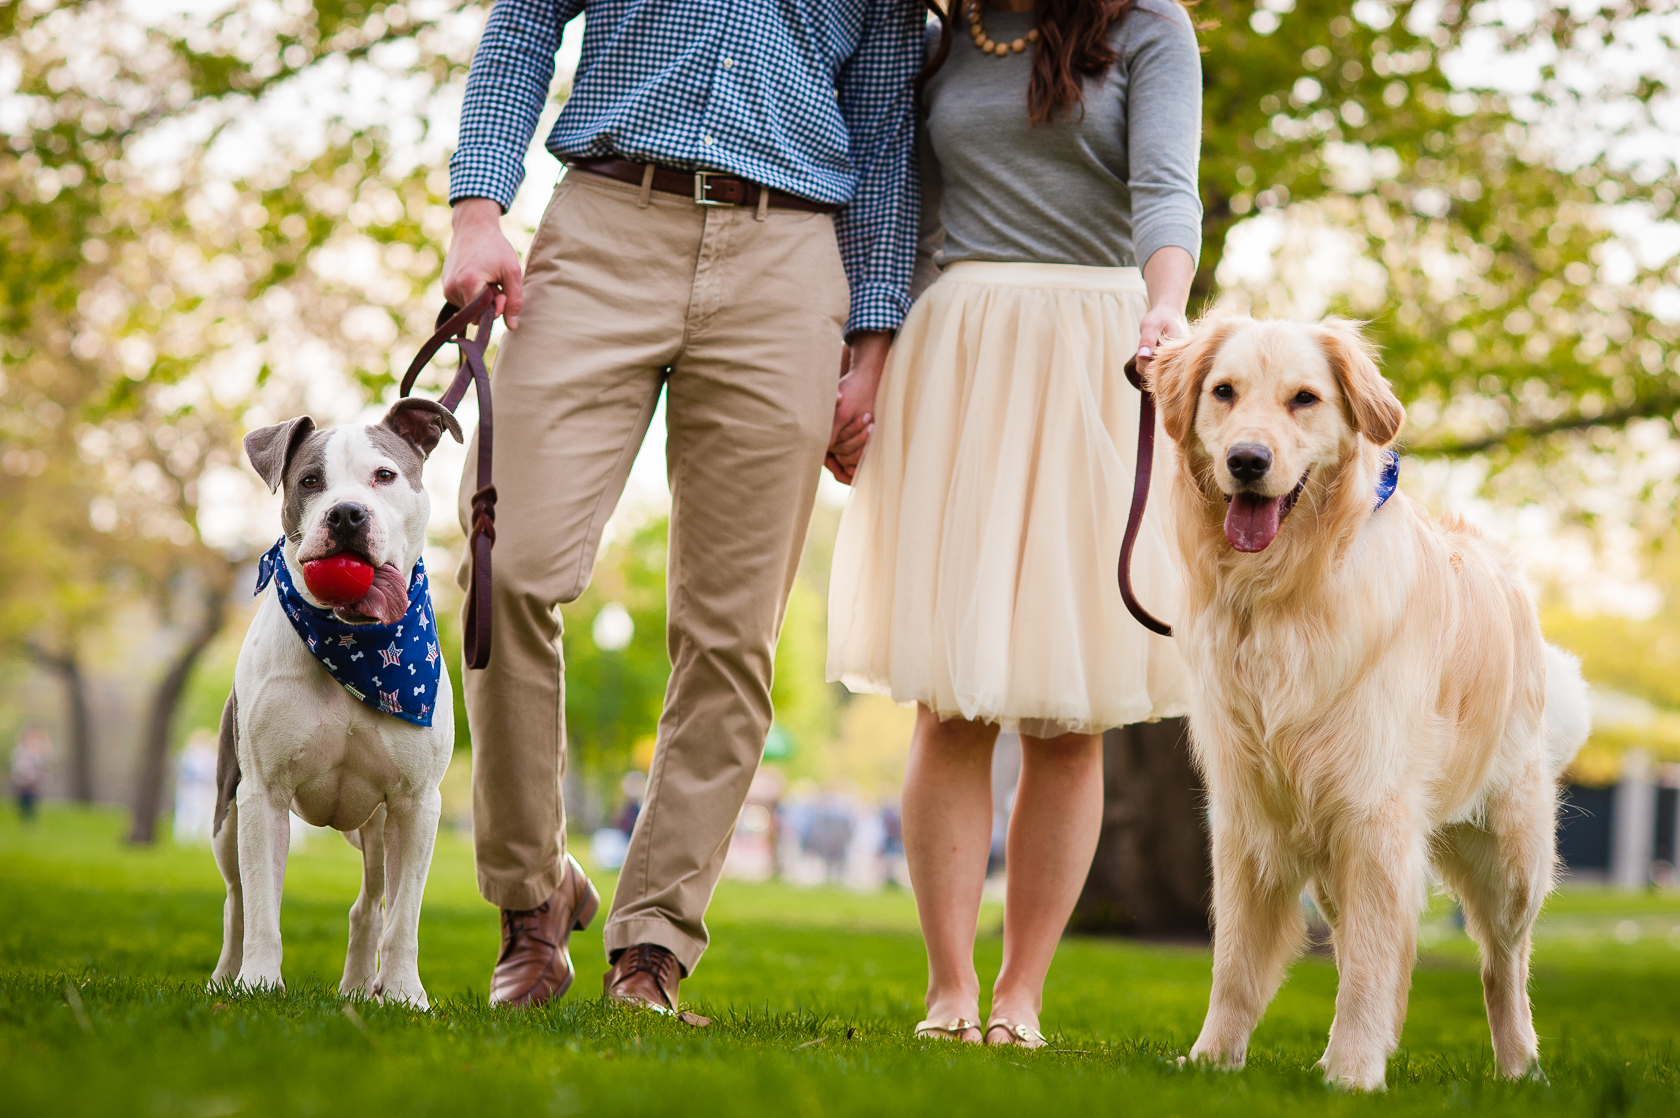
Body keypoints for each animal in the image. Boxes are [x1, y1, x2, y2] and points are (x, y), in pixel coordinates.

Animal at [216, 396, 470, 1008]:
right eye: (310, 480)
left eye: (385, 475)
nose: (348, 514)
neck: (355, 647)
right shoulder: (263, 794)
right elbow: (262, 906)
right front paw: (259, 983)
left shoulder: (416, 804)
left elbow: (404, 917)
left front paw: (404, 993)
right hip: (226, 814)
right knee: (236, 900)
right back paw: (225, 978)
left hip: (377, 828)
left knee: (371, 906)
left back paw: (360, 989)